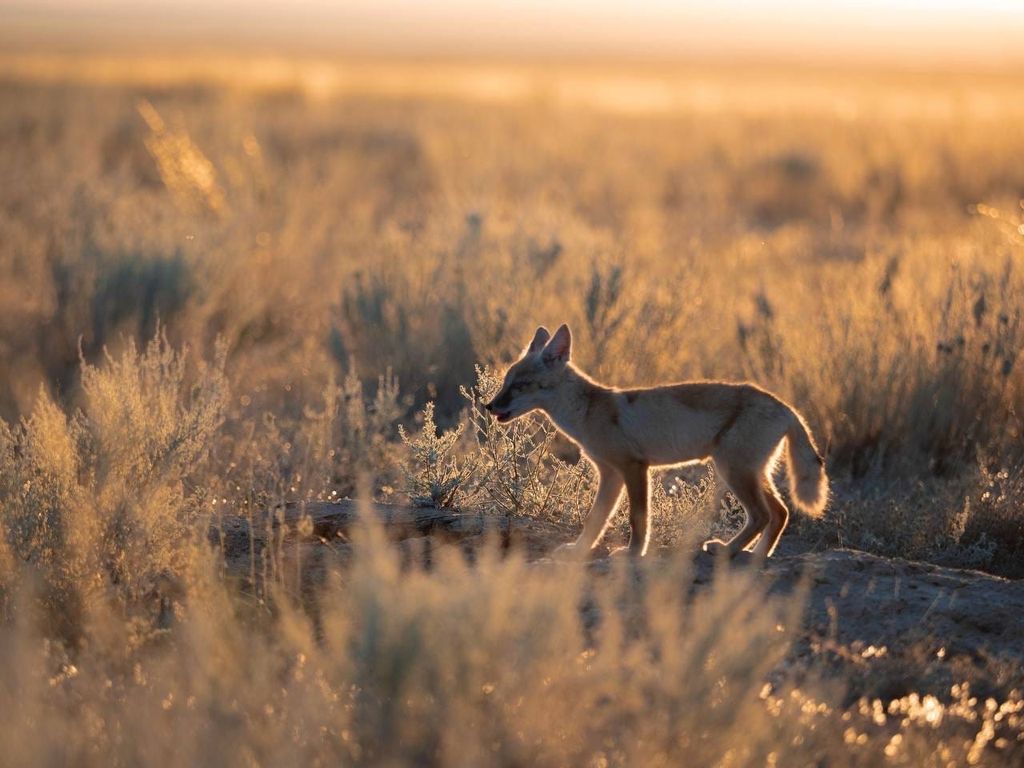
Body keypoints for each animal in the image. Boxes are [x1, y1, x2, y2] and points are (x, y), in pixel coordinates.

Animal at [483, 325, 827, 561]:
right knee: (781, 513)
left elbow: (638, 519)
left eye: (520, 386)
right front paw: (579, 550)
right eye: (506, 382)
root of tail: (785, 405)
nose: (489, 406)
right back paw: (757, 556)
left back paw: (728, 551)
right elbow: (596, 520)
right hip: (751, 472)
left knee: (763, 515)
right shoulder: (610, 474)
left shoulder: (634, 467)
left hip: (734, 471)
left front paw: (633, 554)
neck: (588, 412)